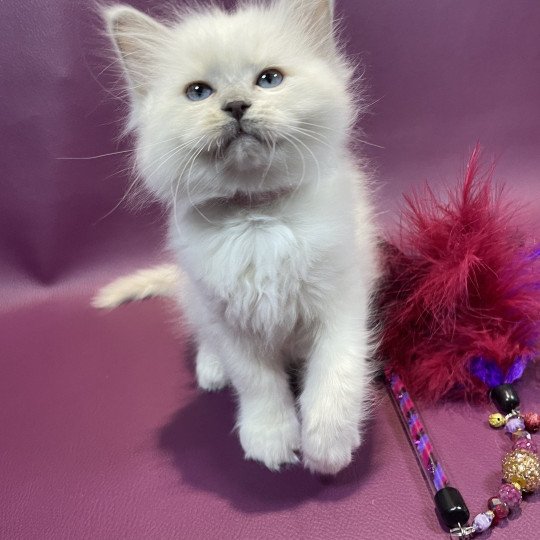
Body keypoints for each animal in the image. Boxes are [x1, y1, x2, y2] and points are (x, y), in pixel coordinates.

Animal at [97, 0, 382, 472]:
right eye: (198, 92)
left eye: (269, 79)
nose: (235, 105)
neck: (257, 216)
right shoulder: (227, 315)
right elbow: (257, 382)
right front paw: (270, 438)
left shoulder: (341, 298)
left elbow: (336, 370)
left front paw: (328, 443)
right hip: (195, 299)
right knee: (204, 338)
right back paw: (211, 370)